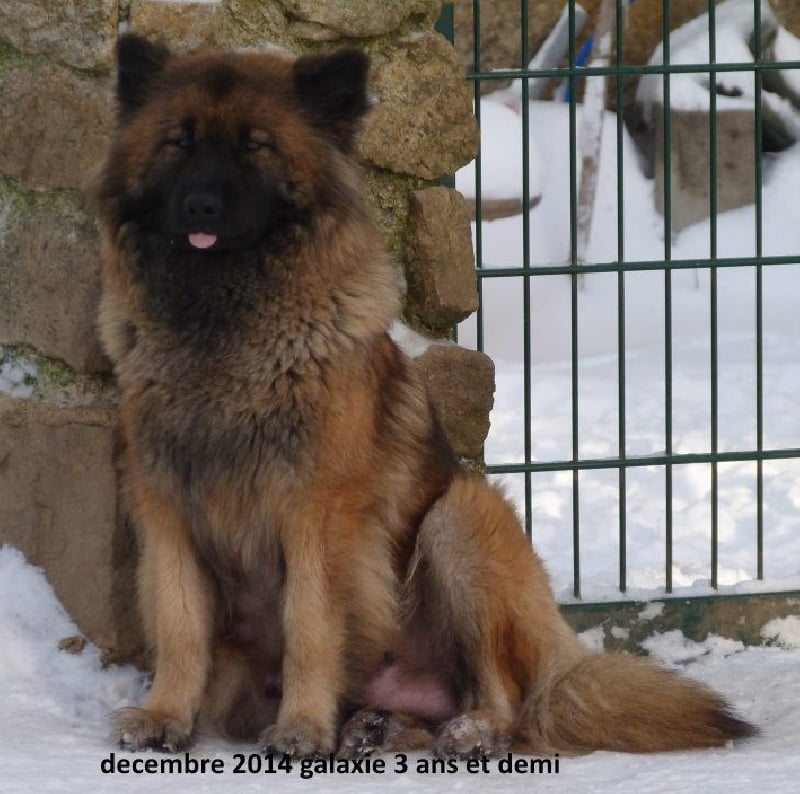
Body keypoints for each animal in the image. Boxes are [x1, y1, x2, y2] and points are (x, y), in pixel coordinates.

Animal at [96, 34, 756, 758]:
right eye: (177, 143)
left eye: (257, 146)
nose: (201, 207)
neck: (225, 332)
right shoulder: (168, 511)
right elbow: (179, 623)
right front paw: (166, 716)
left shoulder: (315, 515)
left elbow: (309, 627)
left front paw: (301, 728)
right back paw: (376, 724)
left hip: (459, 519)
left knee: (505, 697)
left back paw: (472, 730)